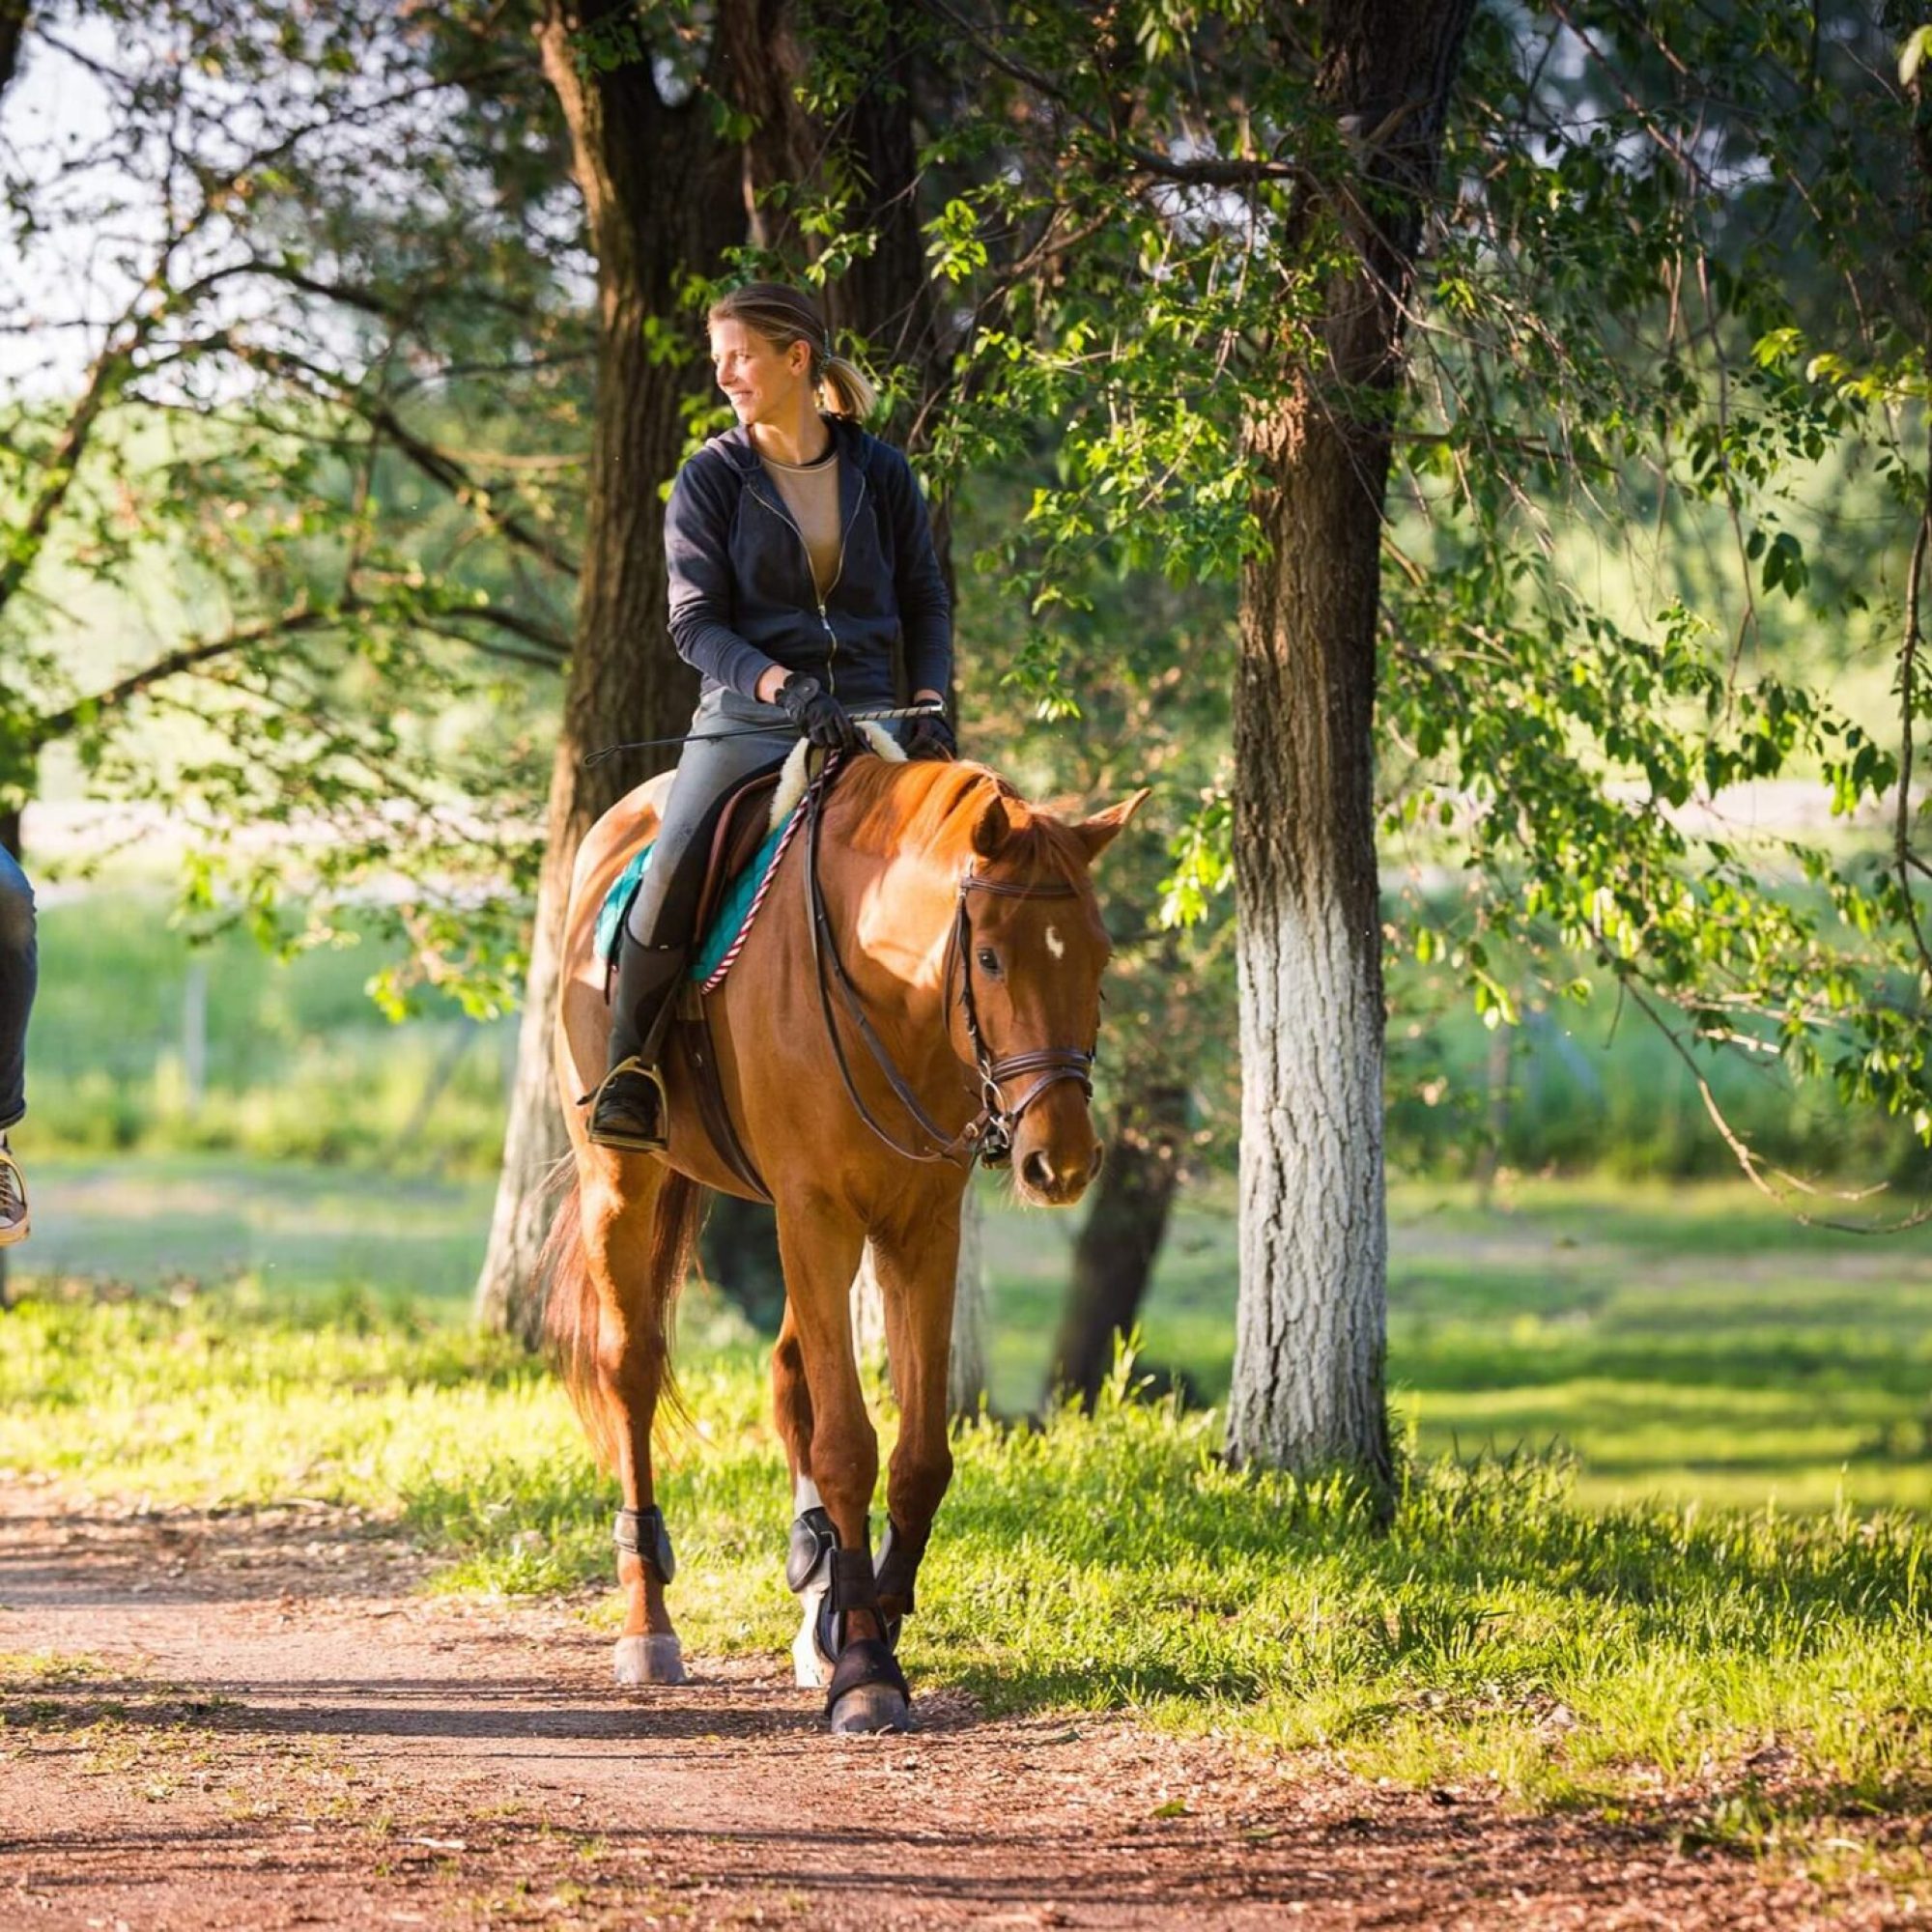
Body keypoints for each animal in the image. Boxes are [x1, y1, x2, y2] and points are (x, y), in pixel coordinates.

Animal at [542, 745, 1146, 1733]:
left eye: (1097, 958)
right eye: (989, 956)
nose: (1059, 1162)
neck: (886, 989)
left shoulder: (918, 1228)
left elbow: (917, 1456)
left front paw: (870, 1615)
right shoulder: (817, 1214)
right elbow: (848, 1446)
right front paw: (864, 1666)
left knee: (790, 1378)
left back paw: (814, 1596)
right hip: (624, 1185)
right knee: (630, 1373)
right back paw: (649, 1630)